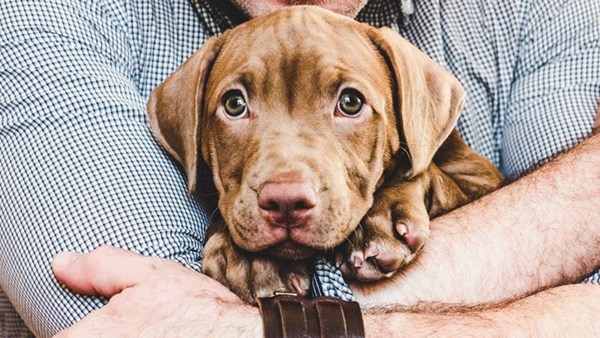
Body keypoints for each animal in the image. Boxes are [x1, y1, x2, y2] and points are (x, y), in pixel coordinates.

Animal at [145, 6, 502, 304]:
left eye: (350, 103)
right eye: (234, 104)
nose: (286, 201)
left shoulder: (480, 177)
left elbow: (428, 173)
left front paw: (381, 219)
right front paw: (249, 257)